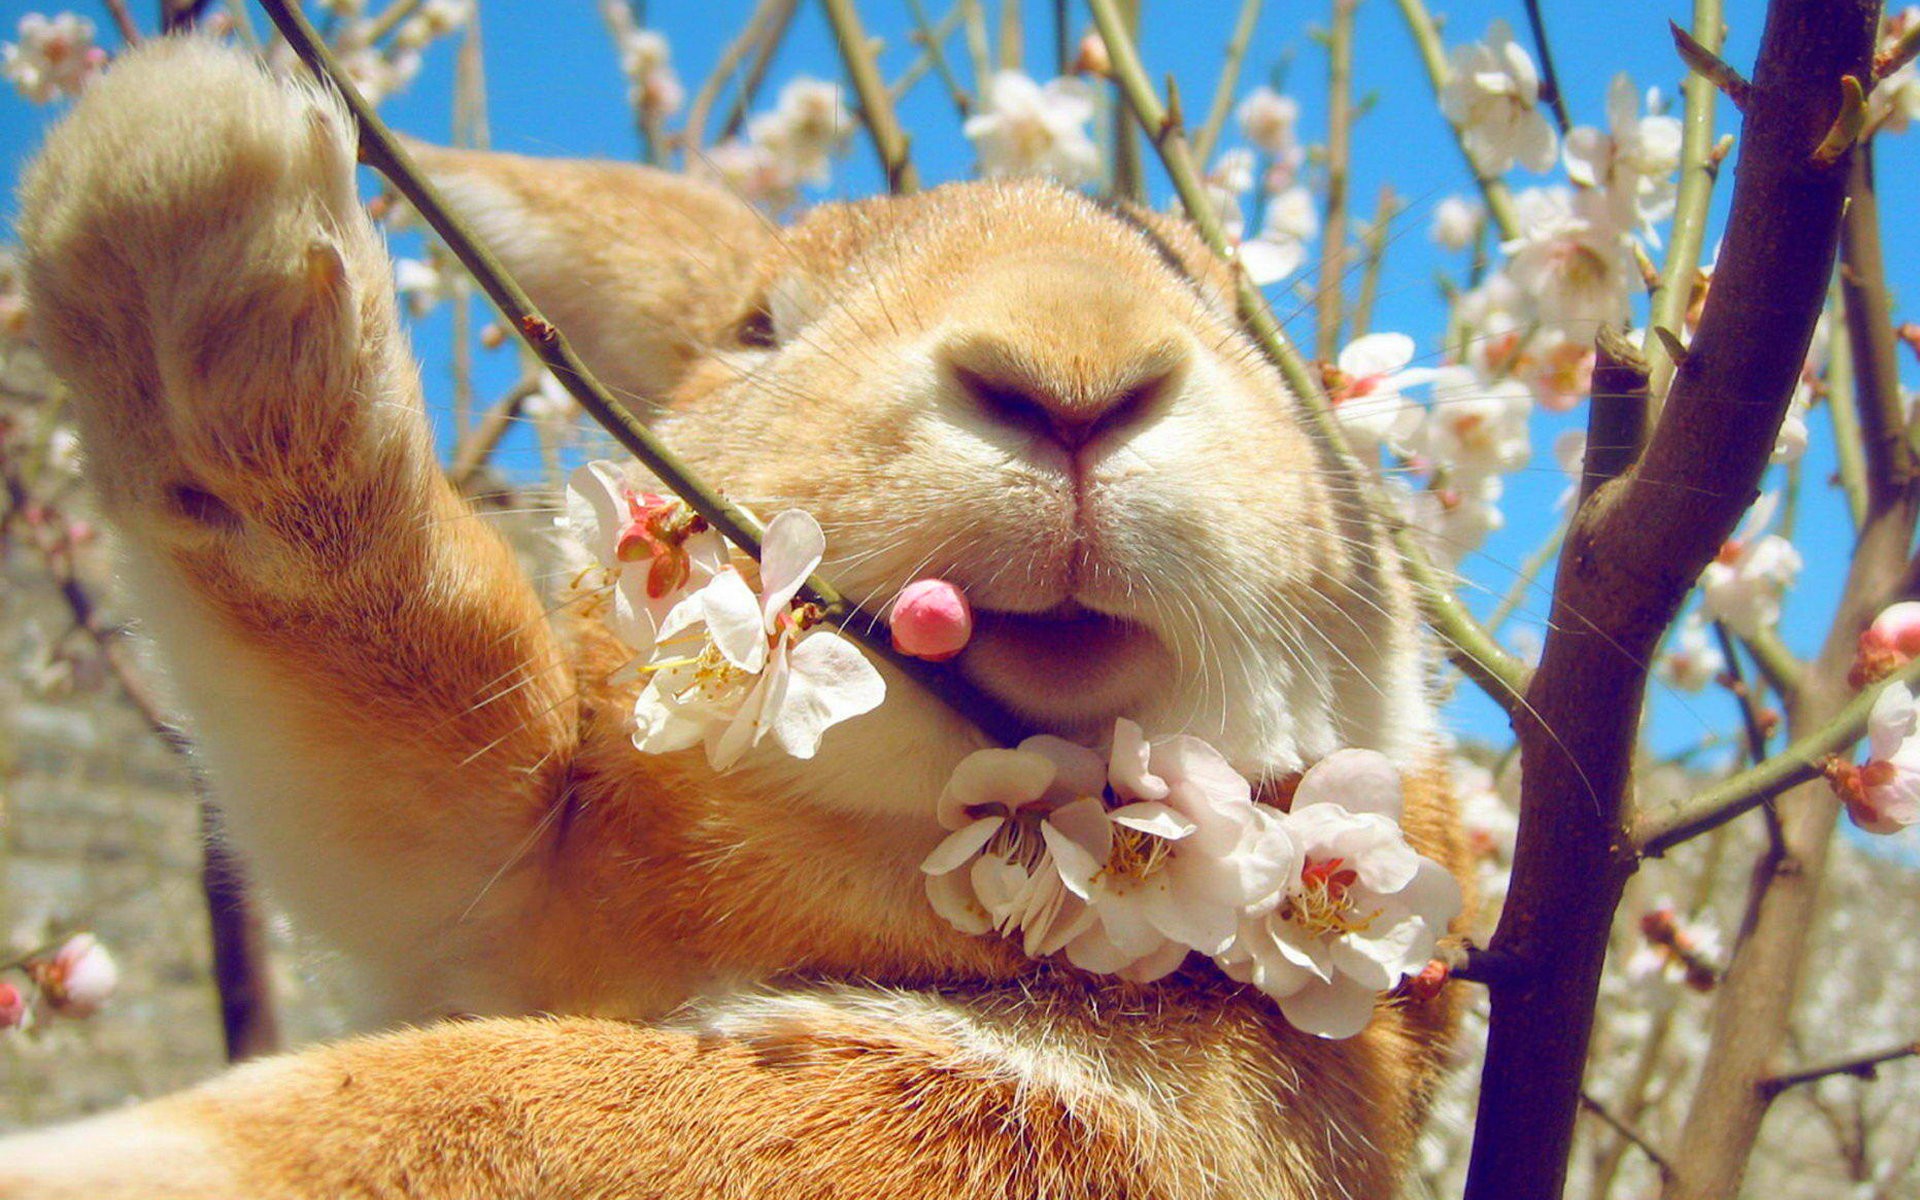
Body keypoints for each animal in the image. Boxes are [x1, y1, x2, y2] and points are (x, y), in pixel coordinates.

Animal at [0, 35, 1466, 1200]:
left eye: (1249, 329)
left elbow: (501, 1116)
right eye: (760, 328)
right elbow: (418, 699)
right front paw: (180, 184)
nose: (1073, 368)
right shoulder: (493, 882)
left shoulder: (1086, 1115)